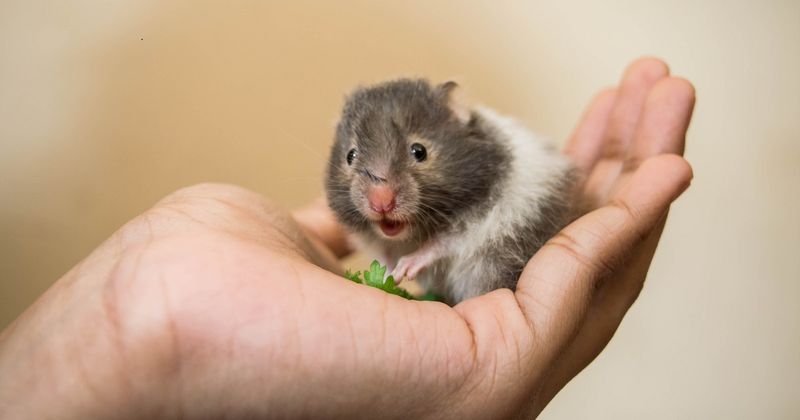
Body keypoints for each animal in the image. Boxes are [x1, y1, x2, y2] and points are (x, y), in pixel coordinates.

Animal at [324, 79, 576, 304]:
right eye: (350, 156)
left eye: (419, 151)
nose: (381, 203)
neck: (411, 235)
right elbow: (383, 254)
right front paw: (389, 274)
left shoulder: (478, 220)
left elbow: (441, 243)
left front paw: (405, 268)